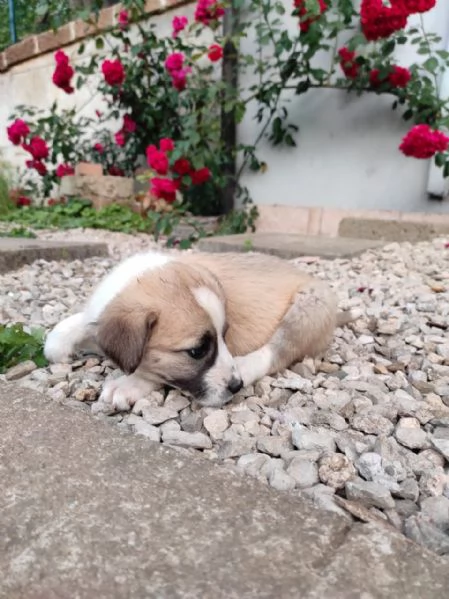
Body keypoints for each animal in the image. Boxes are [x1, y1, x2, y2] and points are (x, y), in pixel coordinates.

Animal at [44, 250, 354, 412]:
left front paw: (128, 384)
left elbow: (153, 372)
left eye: (225, 336)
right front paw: (60, 345)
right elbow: (76, 324)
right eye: (197, 351)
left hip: (308, 307)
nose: (235, 386)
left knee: (277, 351)